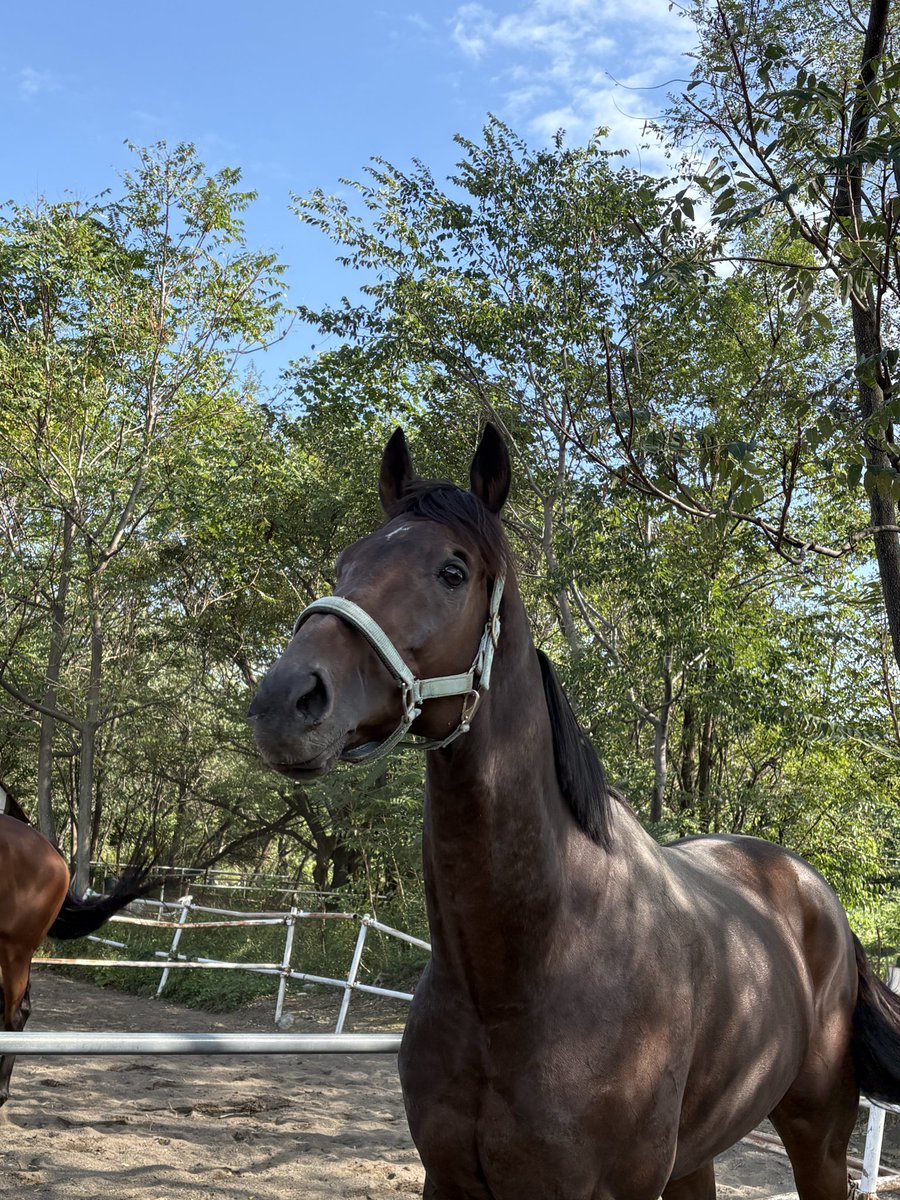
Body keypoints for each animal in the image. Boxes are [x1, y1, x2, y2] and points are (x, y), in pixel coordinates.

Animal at [248, 424, 900, 1200]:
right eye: (347, 562)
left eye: (452, 571)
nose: (286, 702)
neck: (523, 973)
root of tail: (816, 894)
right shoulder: (448, 1178)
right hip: (697, 1155)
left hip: (818, 1138)